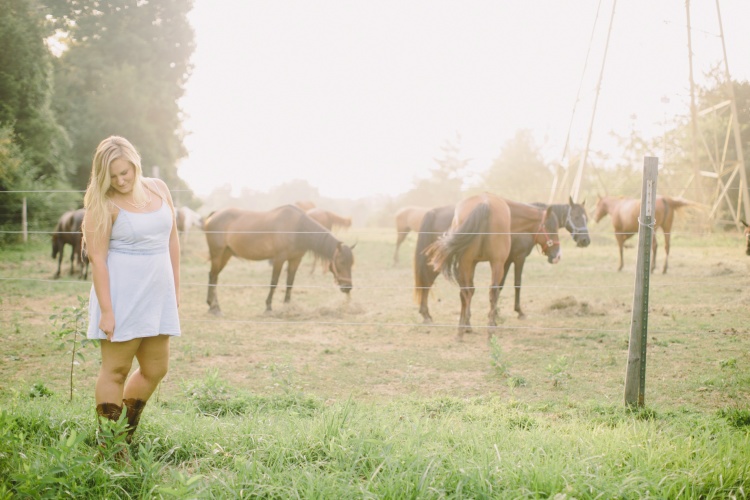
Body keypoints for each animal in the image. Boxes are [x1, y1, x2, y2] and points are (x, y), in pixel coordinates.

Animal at [204, 204, 356, 314]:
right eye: (341, 262)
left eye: (352, 264)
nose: (348, 288)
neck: (297, 229)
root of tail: (214, 215)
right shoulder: (279, 259)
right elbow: (274, 282)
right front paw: (268, 307)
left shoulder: (295, 260)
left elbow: (290, 283)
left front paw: (287, 305)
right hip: (217, 254)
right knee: (213, 276)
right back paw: (214, 308)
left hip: (226, 254)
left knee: (213, 276)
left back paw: (212, 305)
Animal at [418, 199, 564, 324]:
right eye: (551, 227)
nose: (557, 256)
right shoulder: (517, 258)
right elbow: (515, 284)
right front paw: (517, 312)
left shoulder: (500, 262)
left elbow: (495, 286)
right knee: (427, 280)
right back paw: (427, 316)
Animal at [424, 191, 516, 340]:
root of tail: (485, 202)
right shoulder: (480, 262)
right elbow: (474, 290)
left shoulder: (468, 263)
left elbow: (469, 291)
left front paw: (467, 324)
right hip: (497, 262)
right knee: (493, 290)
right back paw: (490, 329)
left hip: (465, 262)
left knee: (465, 292)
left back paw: (460, 332)